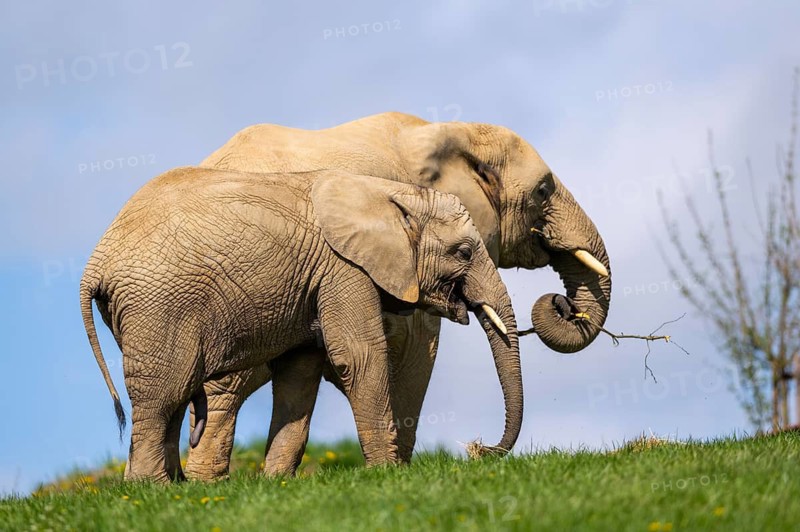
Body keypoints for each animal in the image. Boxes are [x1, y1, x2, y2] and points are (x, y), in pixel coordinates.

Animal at [81, 167, 522, 482]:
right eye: (463, 252)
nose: (478, 449)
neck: (389, 192)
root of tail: (95, 264)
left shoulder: (316, 280)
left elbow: (299, 373)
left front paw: (277, 483)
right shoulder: (344, 268)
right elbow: (357, 358)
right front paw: (385, 474)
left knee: (174, 393)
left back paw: (174, 489)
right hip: (158, 308)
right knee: (162, 395)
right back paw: (151, 488)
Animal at [185, 112, 612, 479]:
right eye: (543, 190)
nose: (478, 449)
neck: (448, 131)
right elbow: (417, 350)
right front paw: (395, 474)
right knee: (226, 390)